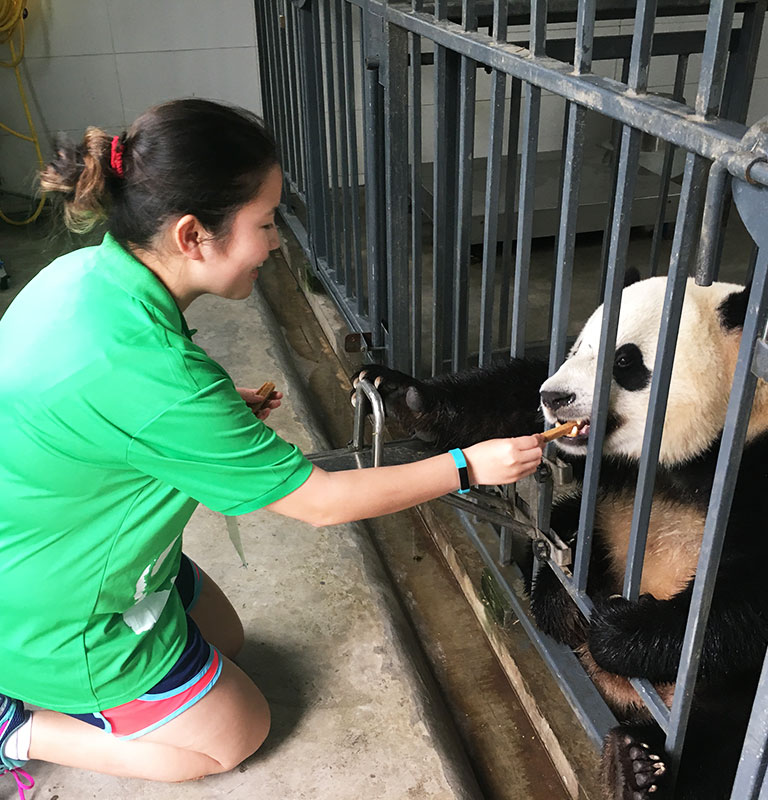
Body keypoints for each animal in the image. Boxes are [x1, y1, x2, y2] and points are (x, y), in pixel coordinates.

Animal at [356, 276, 768, 800]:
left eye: (625, 361)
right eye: (577, 348)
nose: (555, 397)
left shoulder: (757, 460)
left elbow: (745, 596)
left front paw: (622, 630)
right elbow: (508, 403)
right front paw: (402, 395)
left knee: (723, 743)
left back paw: (634, 767)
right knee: (568, 531)